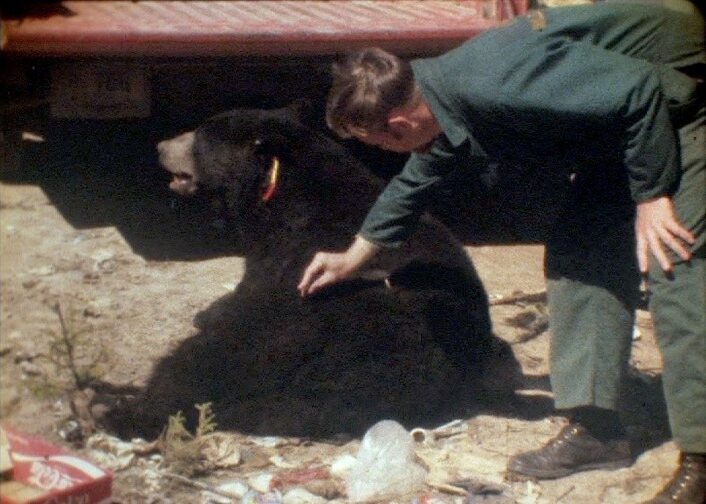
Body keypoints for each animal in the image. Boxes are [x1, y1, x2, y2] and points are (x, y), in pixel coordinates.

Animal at [108, 101, 516, 438]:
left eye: (201, 135)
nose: (160, 145)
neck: (275, 192)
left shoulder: (291, 247)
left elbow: (252, 285)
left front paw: (211, 311)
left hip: (313, 327)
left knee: (211, 359)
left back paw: (126, 412)